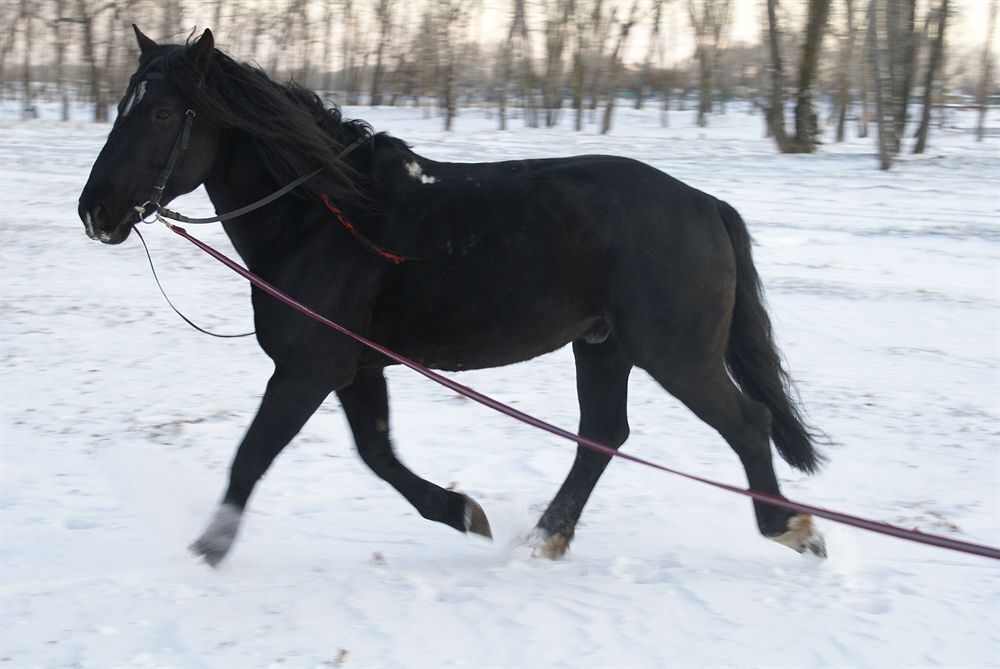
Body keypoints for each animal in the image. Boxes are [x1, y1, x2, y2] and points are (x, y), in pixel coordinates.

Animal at [80, 28, 828, 568]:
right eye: (121, 107)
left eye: (162, 112)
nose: (95, 210)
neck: (323, 216)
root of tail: (706, 206)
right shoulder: (354, 368)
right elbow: (377, 455)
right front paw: (463, 511)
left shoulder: (310, 367)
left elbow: (254, 455)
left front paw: (208, 550)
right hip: (603, 346)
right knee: (602, 436)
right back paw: (544, 539)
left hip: (675, 353)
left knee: (747, 422)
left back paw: (791, 526)